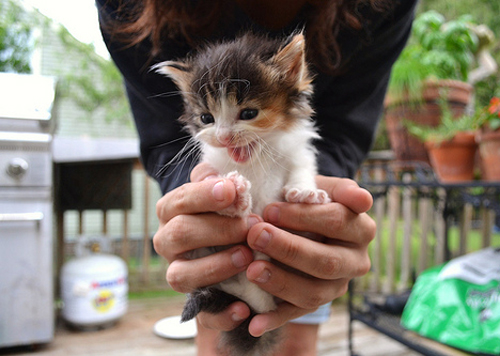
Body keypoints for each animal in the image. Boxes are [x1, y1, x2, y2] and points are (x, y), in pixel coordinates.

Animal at [154, 32, 330, 354]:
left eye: (248, 113)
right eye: (206, 118)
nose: (224, 137)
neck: (254, 160)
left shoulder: (297, 152)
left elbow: (301, 167)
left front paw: (304, 192)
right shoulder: (212, 165)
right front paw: (233, 196)